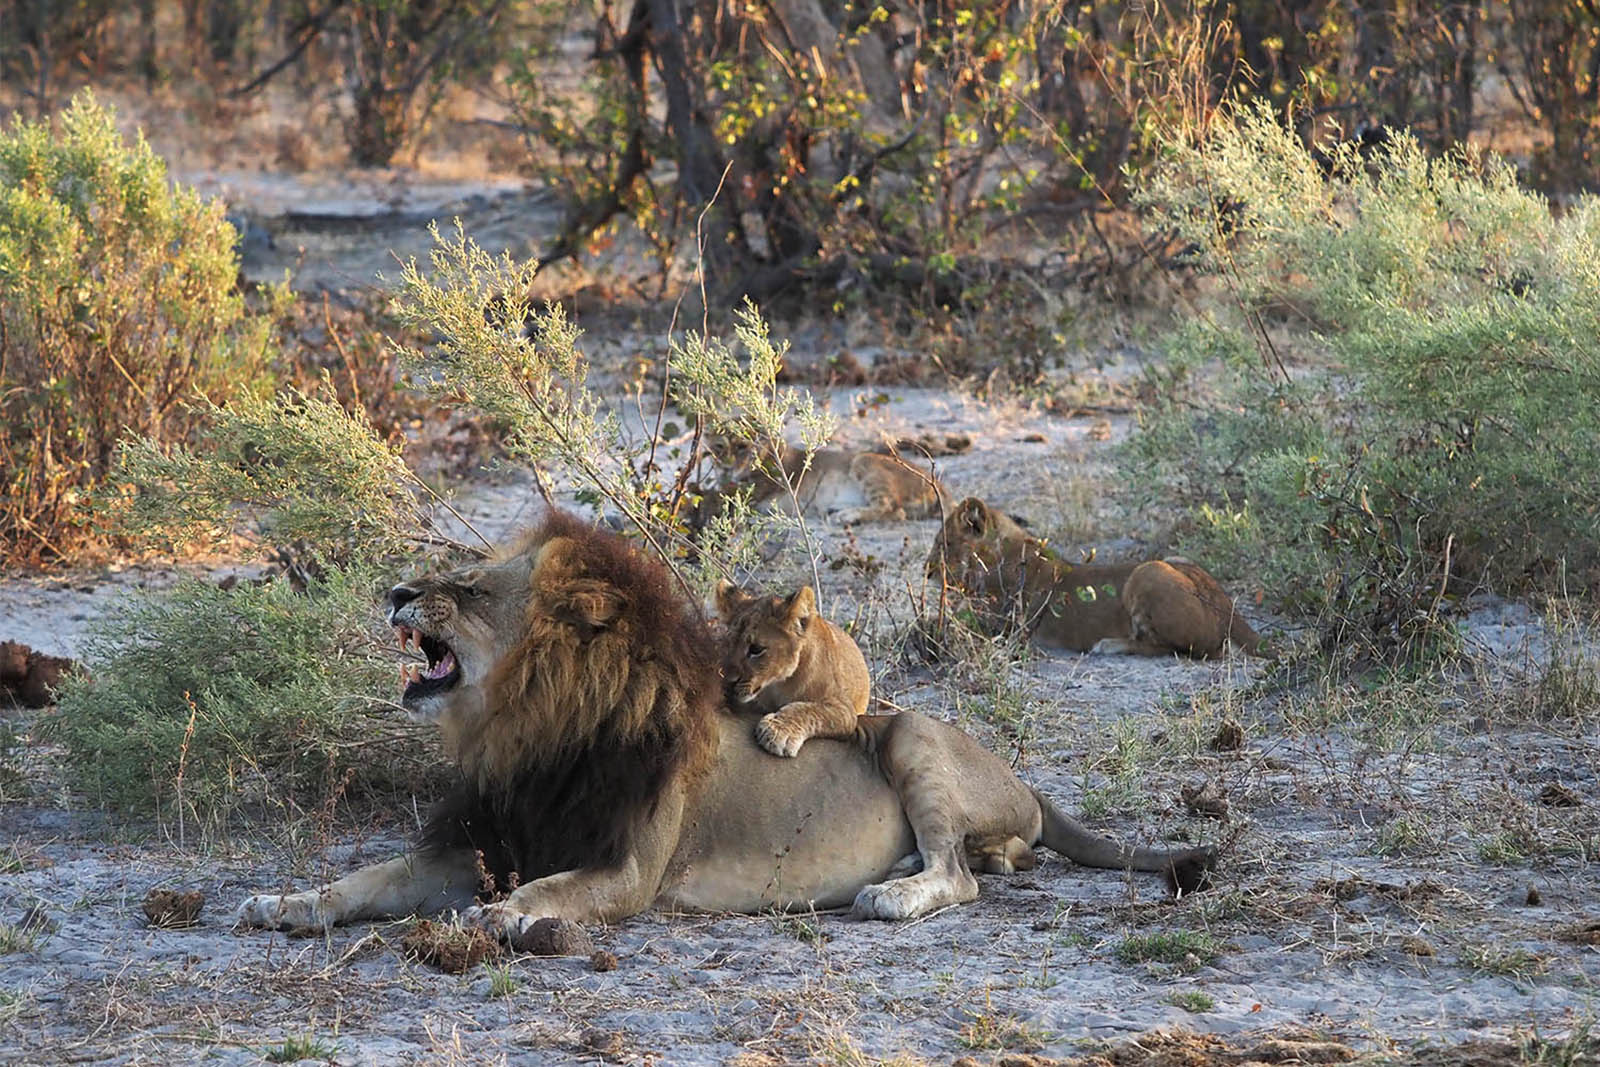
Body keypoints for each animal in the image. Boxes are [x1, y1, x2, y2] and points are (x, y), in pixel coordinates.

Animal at [236, 511, 1209, 940]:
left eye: (469, 587)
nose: (396, 591)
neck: (528, 733)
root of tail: (1025, 780)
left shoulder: (626, 872)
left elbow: (545, 891)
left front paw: (496, 918)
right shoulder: (466, 843)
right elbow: (362, 879)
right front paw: (282, 902)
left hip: (911, 737)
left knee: (960, 875)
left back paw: (895, 890)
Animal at [928, 499, 1260, 659]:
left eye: (944, 543)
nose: (926, 572)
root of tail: (1226, 604)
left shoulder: (1004, 627)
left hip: (1147, 572)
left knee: (1194, 651)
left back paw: (1110, 645)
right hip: (1176, 559)